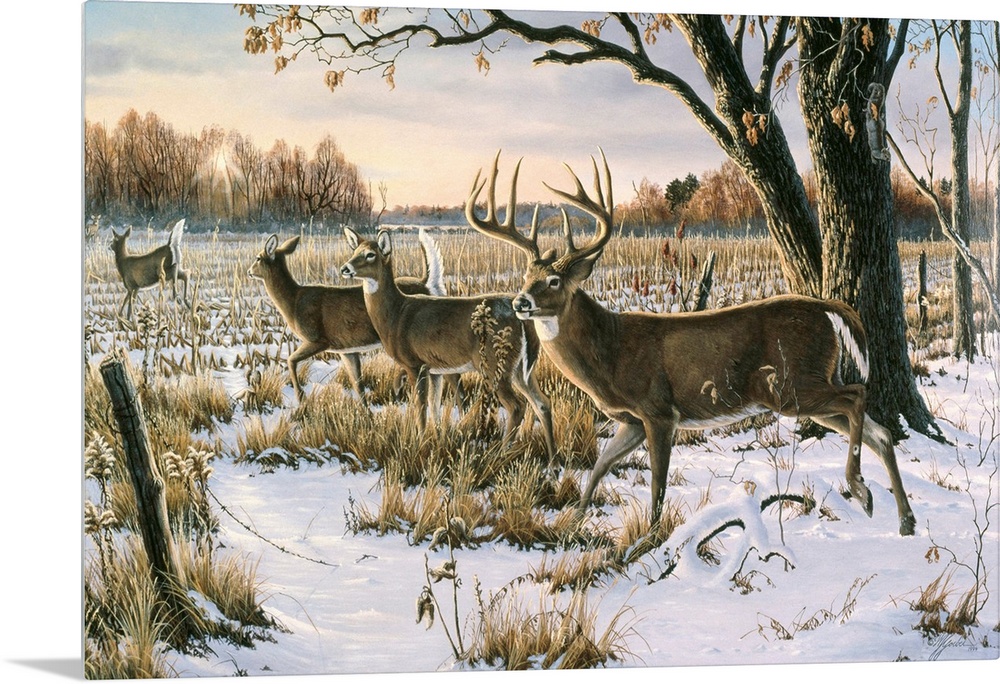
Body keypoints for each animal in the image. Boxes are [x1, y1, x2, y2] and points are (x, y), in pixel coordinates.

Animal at [252, 228, 462, 406]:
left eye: (258, 258)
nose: (249, 271)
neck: (295, 300)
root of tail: (428, 284)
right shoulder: (346, 349)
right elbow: (357, 383)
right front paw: (365, 413)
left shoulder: (318, 340)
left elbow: (290, 360)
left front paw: (301, 398)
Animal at [338, 226, 556, 460]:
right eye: (354, 251)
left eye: (370, 254)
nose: (345, 268)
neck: (396, 314)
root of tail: (523, 320)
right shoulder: (434, 369)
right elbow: (434, 406)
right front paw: (435, 439)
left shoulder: (415, 364)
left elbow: (420, 408)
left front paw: (418, 444)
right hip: (521, 369)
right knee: (542, 403)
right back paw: (553, 459)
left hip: (494, 363)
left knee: (516, 405)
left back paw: (498, 454)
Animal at [464, 152, 916, 536]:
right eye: (526, 277)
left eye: (554, 281)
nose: (520, 302)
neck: (610, 352)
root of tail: (828, 308)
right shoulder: (631, 419)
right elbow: (599, 466)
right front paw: (573, 521)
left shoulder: (659, 409)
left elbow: (658, 485)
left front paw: (647, 540)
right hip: (808, 387)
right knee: (880, 431)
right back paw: (904, 519)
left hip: (792, 385)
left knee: (857, 396)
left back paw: (860, 488)